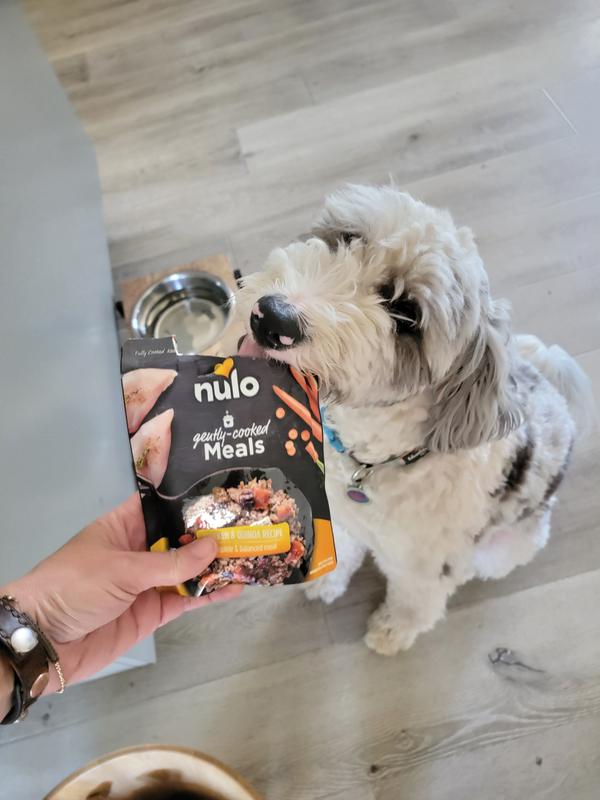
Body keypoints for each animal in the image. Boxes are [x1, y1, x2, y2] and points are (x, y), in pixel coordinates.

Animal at [238, 184, 594, 655]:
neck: (375, 461)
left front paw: (393, 630)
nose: (274, 317)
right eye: (348, 237)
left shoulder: (425, 564)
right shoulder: (341, 515)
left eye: (407, 314)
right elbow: (342, 546)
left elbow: (415, 599)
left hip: (502, 547)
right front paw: (326, 580)